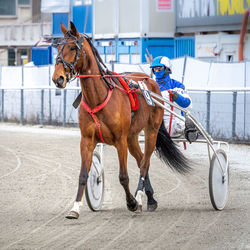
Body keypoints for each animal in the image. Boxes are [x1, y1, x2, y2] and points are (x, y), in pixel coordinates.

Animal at [52, 23, 189, 219]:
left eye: (72, 47)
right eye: (58, 48)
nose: (58, 78)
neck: (98, 98)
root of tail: (150, 80)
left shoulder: (120, 141)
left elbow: (123, 176)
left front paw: (131, 202)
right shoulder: (86, 140)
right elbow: (83, 175)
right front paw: (75, 207)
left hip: (151, 131)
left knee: (145, 163)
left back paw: (139, 198)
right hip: (132, 137)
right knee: (141, 160)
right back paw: (150, 198)